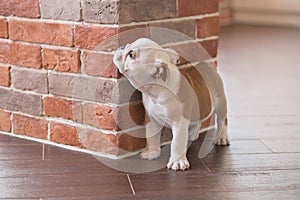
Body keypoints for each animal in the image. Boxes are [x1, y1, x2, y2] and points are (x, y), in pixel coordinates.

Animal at [113, 38, 230, 171]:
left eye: (131, 54)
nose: (122, 46)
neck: (156, 93)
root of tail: (207, 67)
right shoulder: (151, 119)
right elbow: (151, 136)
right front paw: (152, 152)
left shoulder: (179, 122)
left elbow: (177, 142)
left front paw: (177, 162)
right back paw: (192, 135)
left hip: (220, 102)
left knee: (222, 119)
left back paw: (221, 138)